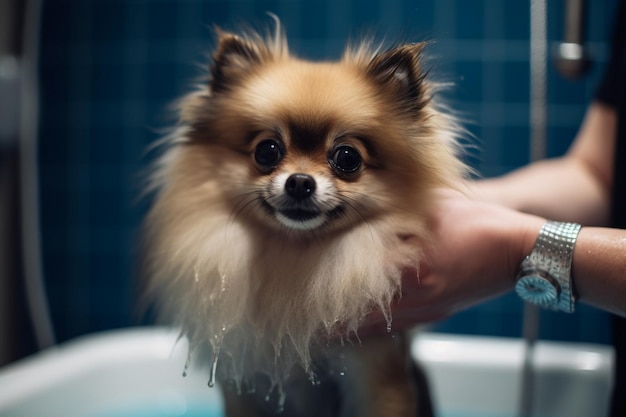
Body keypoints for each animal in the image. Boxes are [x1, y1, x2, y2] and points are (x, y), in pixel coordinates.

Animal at [145, 21, 464, 416]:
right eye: (267, 150)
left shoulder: (377, 376)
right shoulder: (242, 378)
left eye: (347, 158)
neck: (295, 255)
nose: (299, 181)